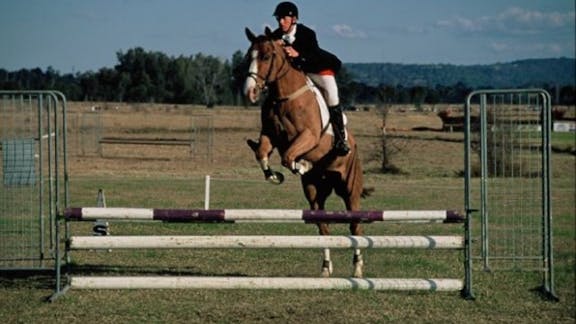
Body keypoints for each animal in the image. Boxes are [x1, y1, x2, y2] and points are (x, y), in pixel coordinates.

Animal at [242, 26, 368, 278]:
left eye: (266, 57)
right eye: (249, 56)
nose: (250, 92)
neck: (284, 96)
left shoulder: (308, 136)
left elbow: (288, 156)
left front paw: (302, 164)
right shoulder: (270, 136)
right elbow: (262, 153)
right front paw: (274, 176)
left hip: (350, 188)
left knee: (355, 225)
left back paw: (357, 268)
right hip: (315, 193)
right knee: (323, 227)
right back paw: (326, 269)